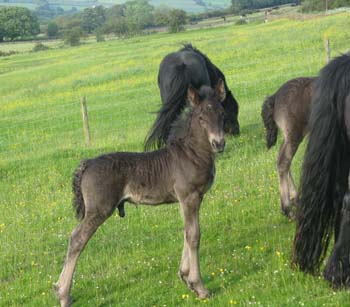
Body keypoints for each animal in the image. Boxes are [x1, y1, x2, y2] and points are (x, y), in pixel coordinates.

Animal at [53, 80, 226, 306]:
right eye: (201, 118)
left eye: (222, 113)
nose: (219, 143)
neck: (192, 154)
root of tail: (87, 164)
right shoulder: (189, 196)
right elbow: (194, 235)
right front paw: (200, 287)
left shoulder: (192, 198)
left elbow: (187, 231)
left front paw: (186, 276)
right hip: (99, 209)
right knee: (76, 239)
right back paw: (63, 294)